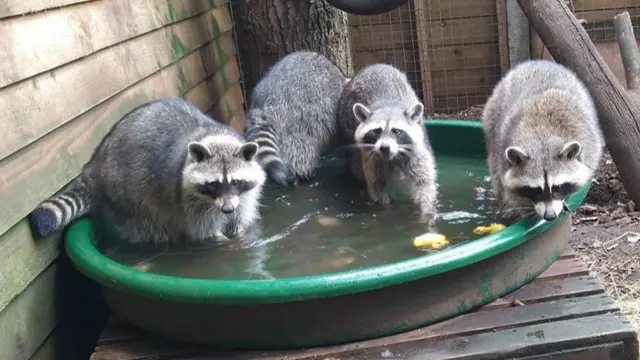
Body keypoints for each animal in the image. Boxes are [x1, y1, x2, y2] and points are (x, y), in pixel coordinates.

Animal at [27, 97, 264, 245]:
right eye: (213, 184)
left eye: (235, 182)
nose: (227, 209)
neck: (214, 135)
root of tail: (94, 164)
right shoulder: (188, 198)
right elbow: (204, 230)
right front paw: (219, 240)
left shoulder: (243, 195)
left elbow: (242, 214)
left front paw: (239, 233)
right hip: (125, 195)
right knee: (147, 225)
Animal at [336, 63, 440, 224]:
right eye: (376, 131)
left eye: (396, 131)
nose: (385, 147)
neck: (387, 106)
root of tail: (373, 65)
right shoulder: (372, 156)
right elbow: (378, 186)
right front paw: (387, 211)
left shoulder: (415, 149)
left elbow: (424, 182)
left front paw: (427, 211)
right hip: (345, 123)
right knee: (357, 168)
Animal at [482, 60, 604, 221]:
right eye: (535, 190)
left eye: (558, 187)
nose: (550, 216)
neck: (543, 140)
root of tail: (536, 62)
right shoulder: (504, 156)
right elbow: (510, 189)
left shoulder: (589, 146)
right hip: (491, 119)